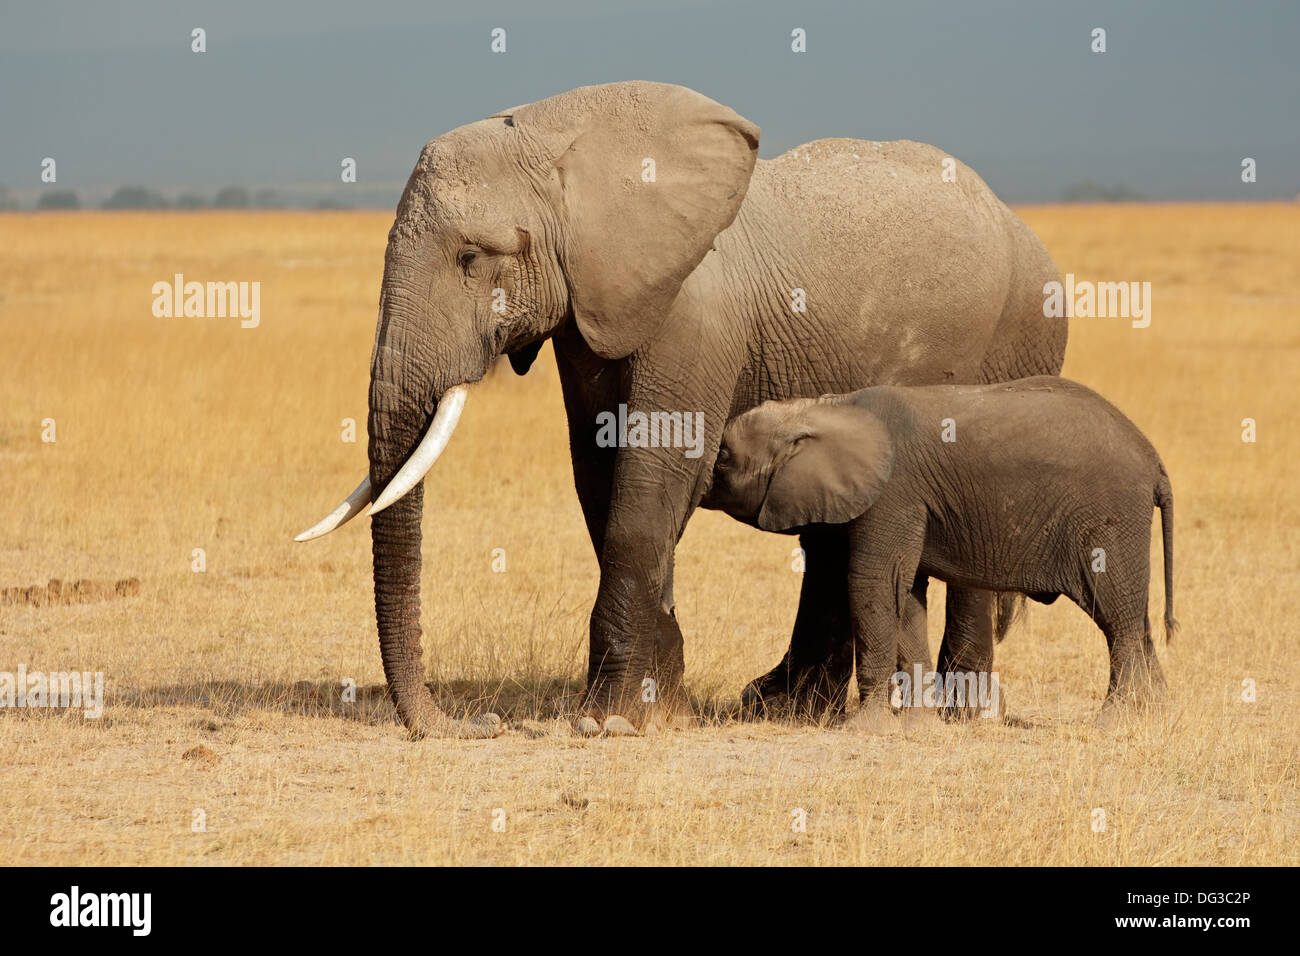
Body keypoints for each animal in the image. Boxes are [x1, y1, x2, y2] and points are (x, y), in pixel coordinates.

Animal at [297, 82, 1066, 738]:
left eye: (471, 257)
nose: (477, 724)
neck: (561, 140)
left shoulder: (693, 313)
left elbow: (655, 477)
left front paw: (604, 719)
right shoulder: (591, 312)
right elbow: (601, 478)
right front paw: (658, 709)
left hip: (1019, 342)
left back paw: (962, 714)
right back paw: (784, 705)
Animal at [707, 377, 1175, 728]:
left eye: (724, 458)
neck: (824, 406)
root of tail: (1155, 461)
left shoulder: (893, 493)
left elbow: (874, 582)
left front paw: (865, 728)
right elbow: (908, 593)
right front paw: (918, 726)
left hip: (1108, 519)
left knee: (1118, 617)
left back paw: (1114, 723)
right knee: (1138, 620)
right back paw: (1153, 719)